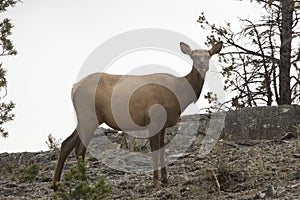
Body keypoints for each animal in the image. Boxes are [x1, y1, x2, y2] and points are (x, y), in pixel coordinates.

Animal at [51, 41, 223, 191]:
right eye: (193, 56)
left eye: (208, 55)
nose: (202, 64)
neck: (179, 94)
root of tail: (74, 88)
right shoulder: (154, 119)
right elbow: (155, 150)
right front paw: (155, 183)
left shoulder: (163, 124)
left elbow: (162, 149)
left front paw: (165, 179)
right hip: (89, 116)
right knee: (80, 149)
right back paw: (84, 183)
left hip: (85, 118)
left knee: (67, 144)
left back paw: (56, 184)